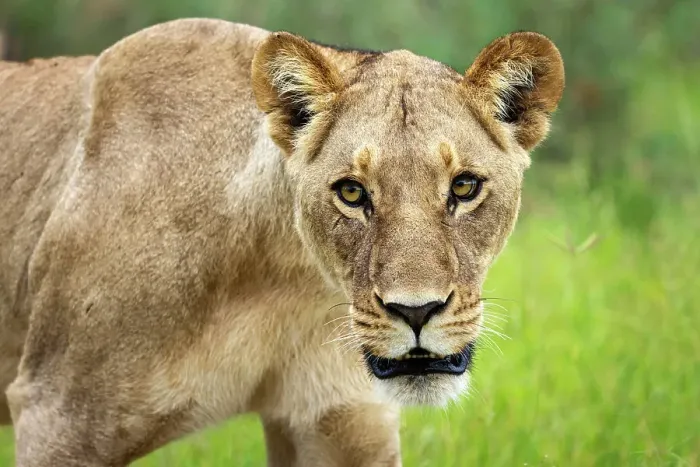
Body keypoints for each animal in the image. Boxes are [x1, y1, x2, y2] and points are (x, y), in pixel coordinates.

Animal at [0, 18, 564, 466]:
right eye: (352, 192)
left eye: (464, 187)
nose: (417, 312)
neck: (287, 276)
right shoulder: (60, 414)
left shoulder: (341, 419)